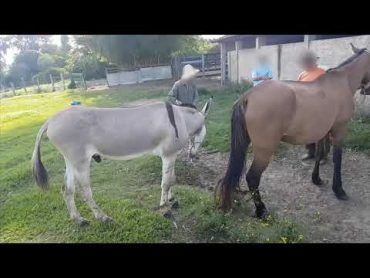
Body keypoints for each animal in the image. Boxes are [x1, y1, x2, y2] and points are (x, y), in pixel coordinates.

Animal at [217, 42, 370, 218]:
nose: (367, 90)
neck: (341, 82)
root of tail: (248, 96)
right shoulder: (339, 129)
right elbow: (337, 159)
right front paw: (339, 190)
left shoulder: (322, 131)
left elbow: (319, 154)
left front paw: (316, 179)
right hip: (264, 150)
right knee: (253, 177)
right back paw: (261, 210)